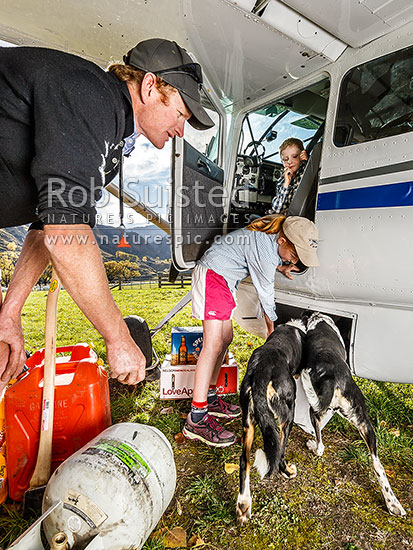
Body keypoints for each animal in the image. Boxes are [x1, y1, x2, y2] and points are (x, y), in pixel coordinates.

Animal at [235, 322, 306, 528]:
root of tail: (261, 371)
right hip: (287, 414)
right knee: (280, 451)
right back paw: (287, 471)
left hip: (248, 421)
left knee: (244, 461)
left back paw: (244, 504)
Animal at [300, 312, 406, 520]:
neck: (320, 319)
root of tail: (337, 380)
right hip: (365, 425)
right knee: (378, 466)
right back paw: (393, 504)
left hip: (315, 411)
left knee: (321, 447)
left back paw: (312, 446)